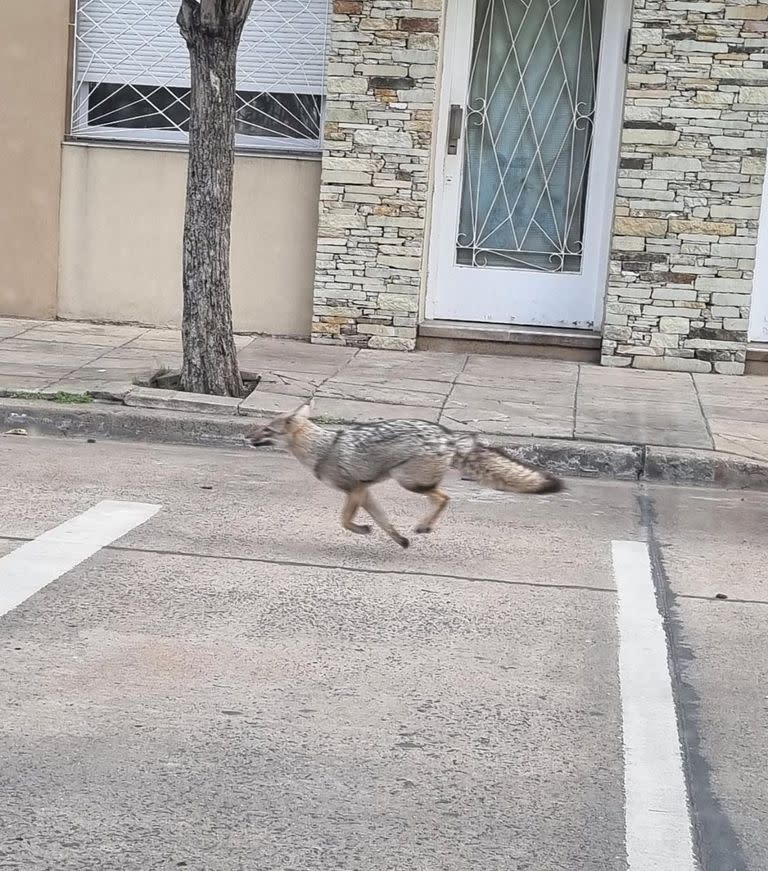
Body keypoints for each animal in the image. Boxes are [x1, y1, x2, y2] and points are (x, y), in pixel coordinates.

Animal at [249, 404, 560, 552]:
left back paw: (424, 525)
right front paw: (399, 540)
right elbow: (384, 522)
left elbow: (344, 521)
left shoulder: (354, 490)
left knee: (445, 497)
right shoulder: (365, 492)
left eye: (266, 430)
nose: (247, 438)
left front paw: (363, 530)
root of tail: (448, 437)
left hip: (407, 481)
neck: (323, 448)